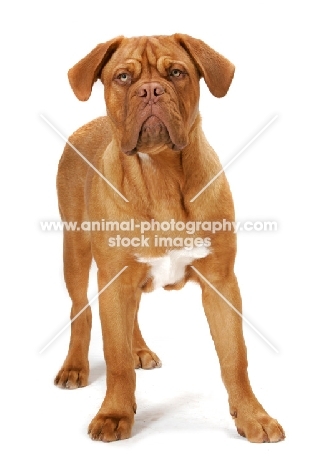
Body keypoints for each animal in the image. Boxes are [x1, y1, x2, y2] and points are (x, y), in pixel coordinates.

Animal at [54, 33, 286, 442]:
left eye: (176, 73)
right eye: (123, 77)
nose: (150, 90)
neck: (159, 172)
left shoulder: (221, 283)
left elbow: (235, 358)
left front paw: (252, 416)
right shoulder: (114, 280)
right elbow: (114, 359)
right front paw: (115, 413)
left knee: (130, 315)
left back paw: (138, 349)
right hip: (77, 253)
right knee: (80, 310)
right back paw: (75, 366)